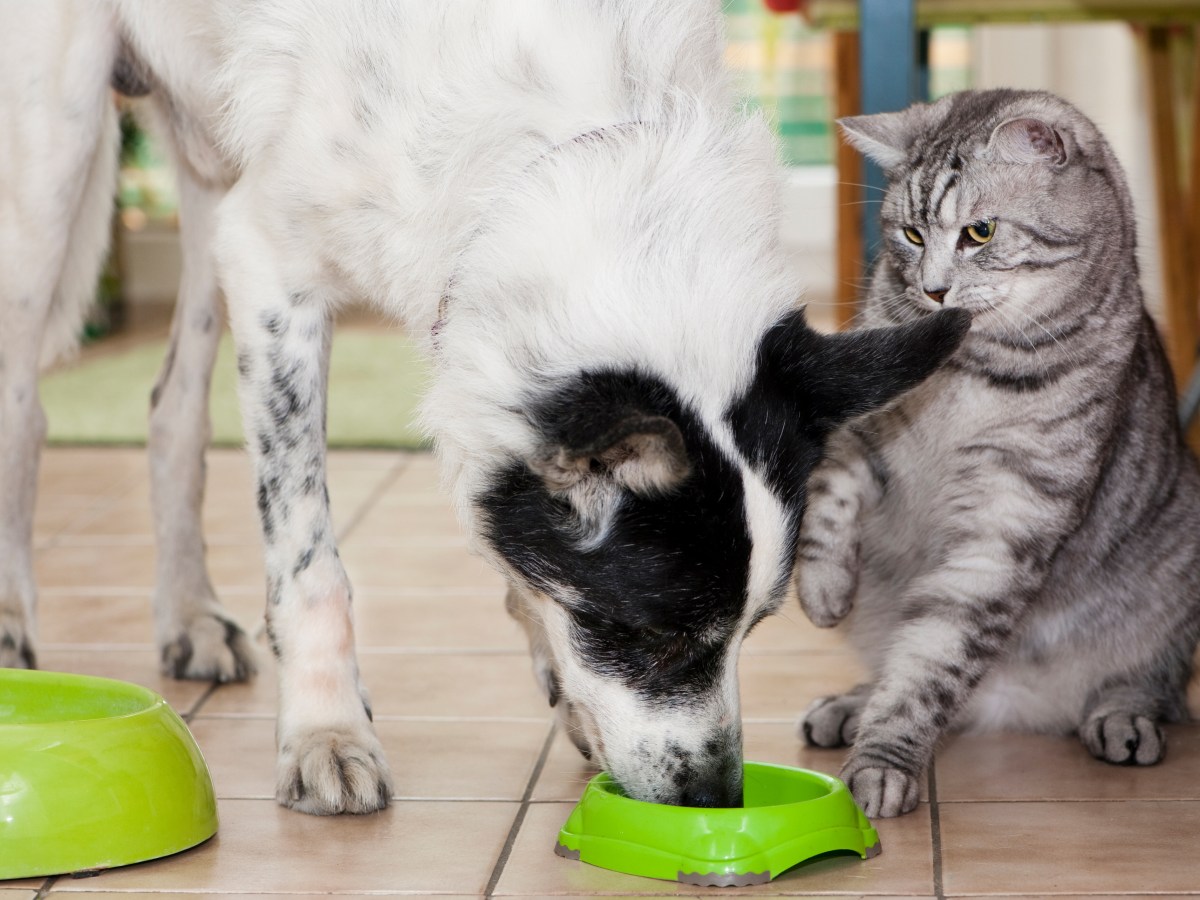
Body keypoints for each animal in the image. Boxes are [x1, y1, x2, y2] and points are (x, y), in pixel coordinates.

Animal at [0, 0, 964, 816]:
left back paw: (190, 618)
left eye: (750, 632)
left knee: (170, 409)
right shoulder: (273, 266)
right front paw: (325, 732)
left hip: (206, 168)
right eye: (652, 633)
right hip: (53, 155)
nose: (716, 798)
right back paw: (14, 622)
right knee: (24, 408)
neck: (573, 150)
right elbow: (310, 562)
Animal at [796, 90, 1200, 816]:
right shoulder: (861, 429)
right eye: (912, 235)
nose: (933, 290)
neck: (970, 367)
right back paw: (848, 705)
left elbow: (934, 663)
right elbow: (827, 490)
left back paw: (1123, 719)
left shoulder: (1008, 518)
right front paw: (823, 589)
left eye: (979, 232)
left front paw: (883, 763)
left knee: (1157, 683)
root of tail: (1015, 706)